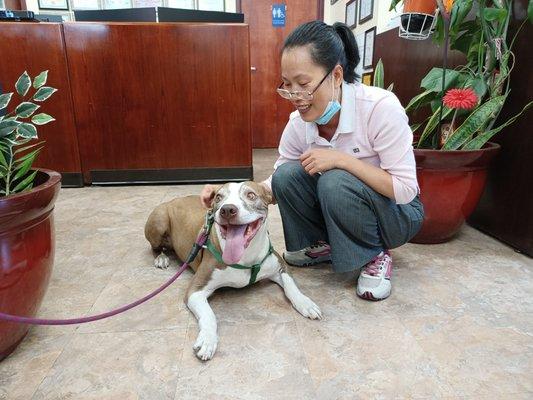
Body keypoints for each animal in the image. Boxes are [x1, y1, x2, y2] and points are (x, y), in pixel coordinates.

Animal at [143, 181, 322, 360]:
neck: (246, 255)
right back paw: (161, 258)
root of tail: (173, 199)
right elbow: (209, 315)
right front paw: (208, 339)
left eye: (251, 195)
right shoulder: (195, 289)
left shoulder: (280, 266)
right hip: (159, 221)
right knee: (155, 247)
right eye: (219, 197)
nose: (227, 209)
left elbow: (292, 287)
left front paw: (305, 303)